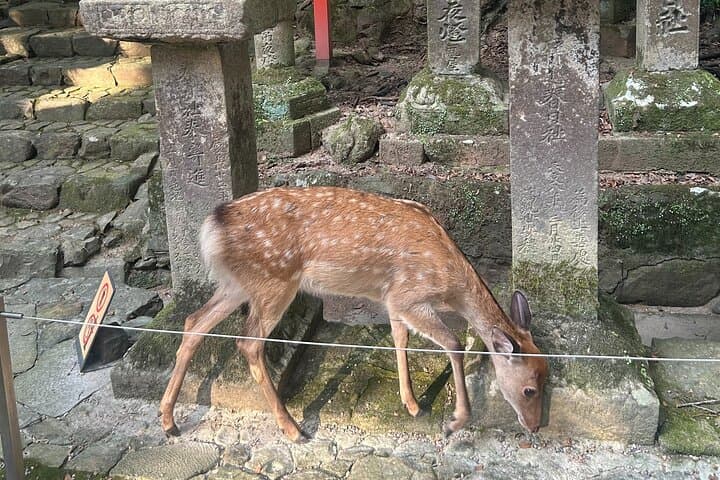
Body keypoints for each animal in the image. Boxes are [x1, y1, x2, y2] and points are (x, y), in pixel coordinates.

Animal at [159, 186, 549, 442]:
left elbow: (399, 338)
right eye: (530, 389)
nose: (535, 426)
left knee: (194, 322)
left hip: (239, 283)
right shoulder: (409, 294)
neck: (450, 283)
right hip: (274, 281)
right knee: (247, 342)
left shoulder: (393, 299)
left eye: (547, 376)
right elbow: (453, 343)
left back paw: (168, 421)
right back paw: (293, 429)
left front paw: (412, 404)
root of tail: (213, 226)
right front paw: (454, 421)